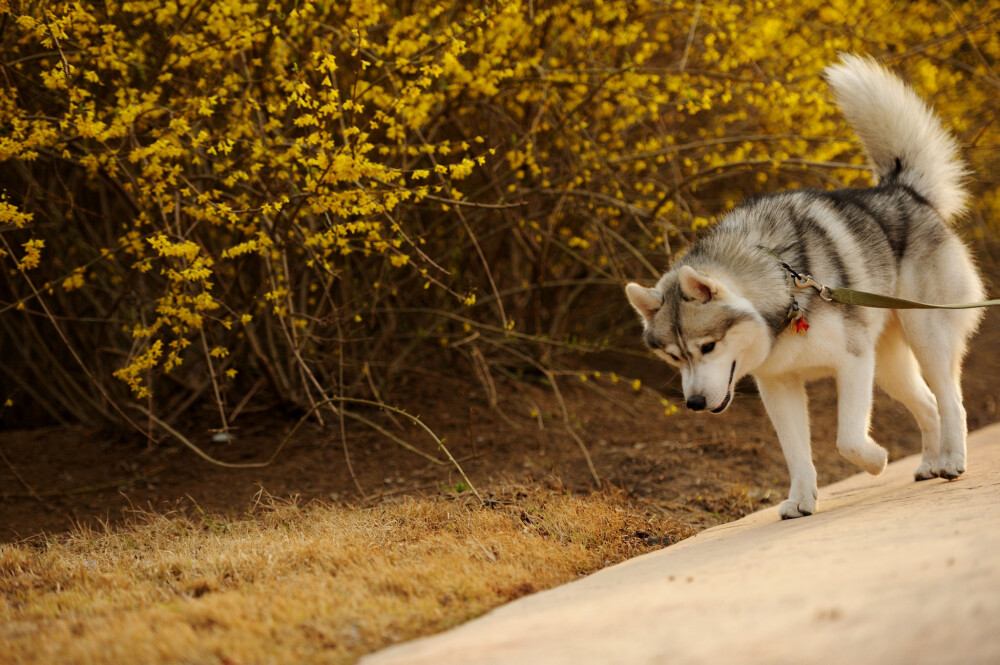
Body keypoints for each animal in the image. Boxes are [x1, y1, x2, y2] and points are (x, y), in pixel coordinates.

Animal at [624, 54, 984, 516]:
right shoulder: (778, 385)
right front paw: (800, 498)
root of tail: (902, 190)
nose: (695, 404)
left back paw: (952, 459)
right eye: (674, 357)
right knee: (928, 405)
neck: (783, 287)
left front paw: (875, 461)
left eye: (708, 347)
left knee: (949, 400)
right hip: (889, 365)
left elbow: (847, 440)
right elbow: (795, 451)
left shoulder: (853, 363)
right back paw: (929, 463)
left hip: (925, 336)